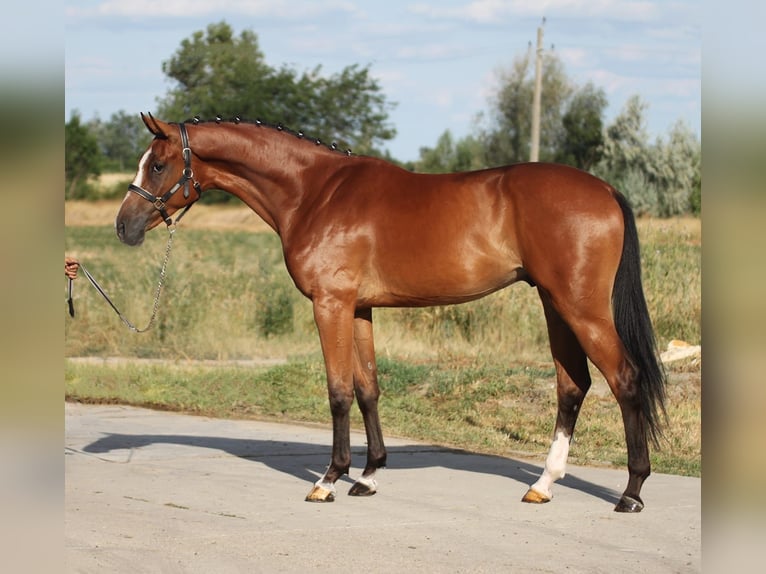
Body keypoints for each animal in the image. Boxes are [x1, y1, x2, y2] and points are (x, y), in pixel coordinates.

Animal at [114, 112, 664, 512]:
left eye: (157, 165)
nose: (124, 226)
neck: (315, 193)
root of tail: (605, 189)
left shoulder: (331, 305)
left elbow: (338, 391)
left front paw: (329, 479)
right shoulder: (359, 309)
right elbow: (368, 389)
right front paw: (369, 475)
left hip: (580, 307)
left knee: (625, 379)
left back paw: (632, 492)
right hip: (555, 304)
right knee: (573, 386)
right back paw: (544, 485)